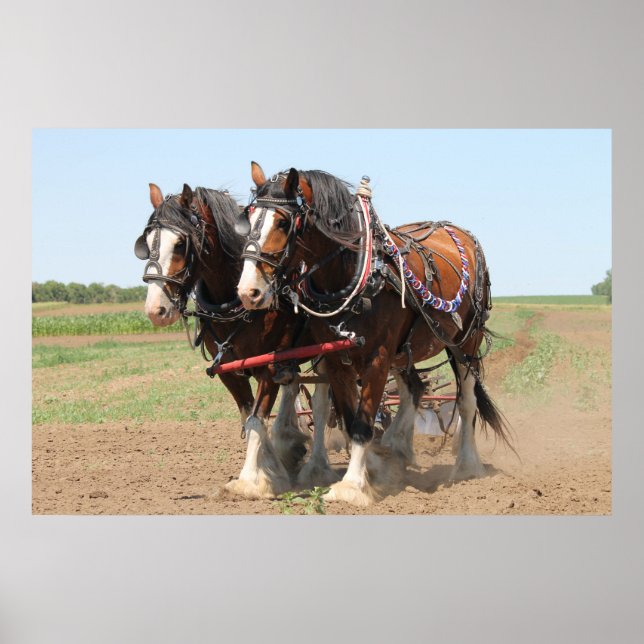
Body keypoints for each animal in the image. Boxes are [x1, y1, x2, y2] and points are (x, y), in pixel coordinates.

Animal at [134, 182, 337, 499]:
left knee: (320, 402)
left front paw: (250, 480)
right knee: (292, 389)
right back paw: (288, 443)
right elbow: (248, 417)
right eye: (148, 241)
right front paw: (272, 466)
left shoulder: (268, 366)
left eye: (180, 244)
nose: (156, 310)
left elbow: (256, 419)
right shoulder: (229, 371)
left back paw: (316, 467)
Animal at [236, 162, 512, 506]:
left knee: (466, 401)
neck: (355, 274)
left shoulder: (378, 358)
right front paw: (368, 472)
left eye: (284, 222)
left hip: (465, 343)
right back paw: (396, 447)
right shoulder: (336, 359)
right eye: (249, 218)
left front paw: (352, 486)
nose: (248, 291)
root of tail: (458, 232)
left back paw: (466, 465)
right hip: (406, 350)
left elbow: (364, 422)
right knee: (414, 389)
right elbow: (349, 417)